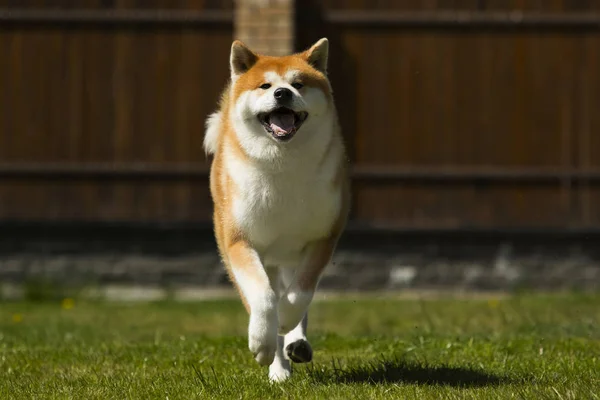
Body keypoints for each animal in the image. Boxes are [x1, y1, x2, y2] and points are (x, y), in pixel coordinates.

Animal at [204, 37, 350, 382]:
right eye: (265, 85)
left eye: (298, 84)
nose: (282, 93)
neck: (282, 165)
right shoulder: (238, 240)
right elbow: (263, 296)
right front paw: (262, 343)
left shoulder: (323, 237)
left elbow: (299, 294)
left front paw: (286, 319)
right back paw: (279, 367)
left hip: (291, 255)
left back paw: (297, 342)